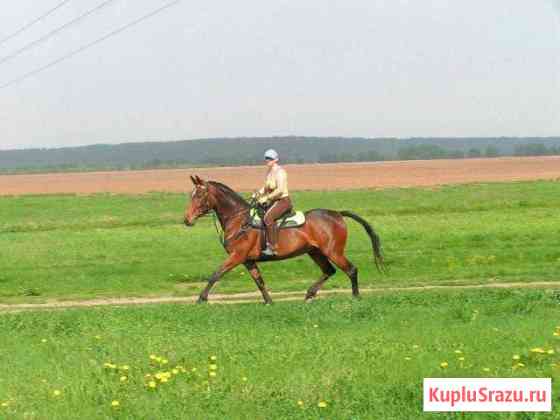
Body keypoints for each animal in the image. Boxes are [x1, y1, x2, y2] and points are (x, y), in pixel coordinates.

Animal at [184, 176, 384, 304]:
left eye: (199, 195)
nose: (187, 219)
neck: (239, 219)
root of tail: (337, 214)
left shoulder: (237, 256)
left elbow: (216, 274)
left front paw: (201, 298)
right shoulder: (248, 260)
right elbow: (259, 281)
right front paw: (269, 301)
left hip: (333, 251)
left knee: (351, 270)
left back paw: (355, 296)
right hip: (315, 252)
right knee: (329, 271)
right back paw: (309, 294)